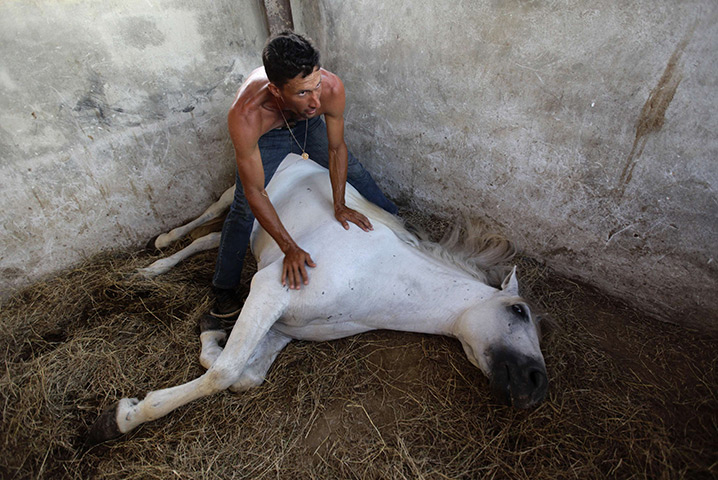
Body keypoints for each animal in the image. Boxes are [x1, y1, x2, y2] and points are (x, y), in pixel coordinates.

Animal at [87, 153, 548, 444]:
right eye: (519, 310)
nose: (537, 384)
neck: (378, 275)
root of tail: (299, 152)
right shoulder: (269, 288)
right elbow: (222, 373)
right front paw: (122, 417)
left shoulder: (285, 327)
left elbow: (240, 375)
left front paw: (209, 328)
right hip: (236, 195)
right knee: (207, 218)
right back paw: (158, 252)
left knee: (212, 241)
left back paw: (158, 268)